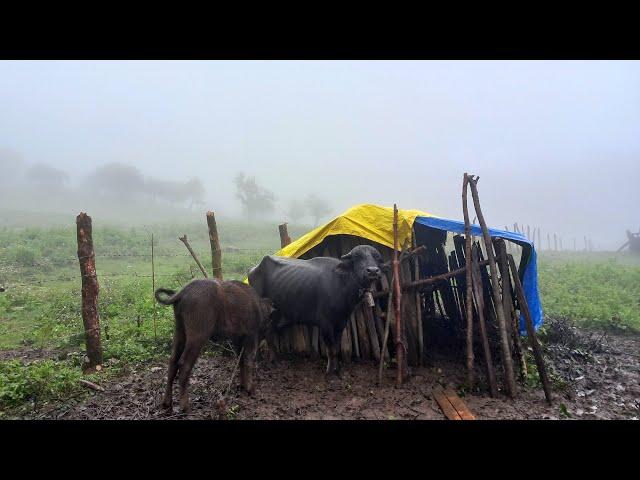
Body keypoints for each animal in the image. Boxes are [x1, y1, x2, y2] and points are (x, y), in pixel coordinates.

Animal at [158, 278, 276, 412]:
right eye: (271, 319)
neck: (259, 307)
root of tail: (182, 292)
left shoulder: (238, 339)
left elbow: (240, 361)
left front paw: (242, 385)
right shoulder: (251, 336)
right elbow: (248, 360)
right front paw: (250, 388)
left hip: (179, 331)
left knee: (172, 361)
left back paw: (166, 403)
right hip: (197, 336)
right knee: (184, 365)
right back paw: (185, 406)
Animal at [248, 246, 382, 376]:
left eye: (376, 257)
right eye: (356, 257)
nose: (372, 271)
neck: (341, 284)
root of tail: (253, 270)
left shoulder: (341, 323)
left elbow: (336, 348)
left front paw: (338, 370)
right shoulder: (325, 324)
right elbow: (330, 349)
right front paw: (329, 371)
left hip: (276, 313)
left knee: (269, 333)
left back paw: (274, 361)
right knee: (258, 333)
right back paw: (256, 361)